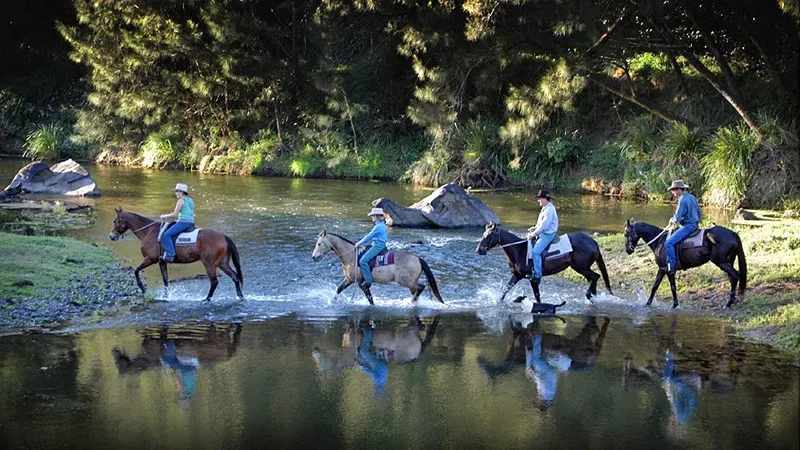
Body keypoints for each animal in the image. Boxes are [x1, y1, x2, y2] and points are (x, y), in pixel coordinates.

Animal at [108, 208, 244, 300]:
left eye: (115, 221)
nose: (111, 236)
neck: (148, 232)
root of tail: (224, 236)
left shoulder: (150, 259)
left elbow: (136, 271)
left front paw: (143, 288)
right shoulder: (161, 261)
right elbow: (165, 280)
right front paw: (166, 296)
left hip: (210, 265)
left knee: (214, 282)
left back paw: (206, 299)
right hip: (223, 263)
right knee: (235, 277)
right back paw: (240, 296)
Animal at [310, 232, 444, 306]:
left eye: (319, 244)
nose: (314, 257)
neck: (352, 256)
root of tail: (418, 259)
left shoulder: (359, 282)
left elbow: (369, 297)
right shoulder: (349, 279)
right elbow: (339, 289)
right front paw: (332, 302)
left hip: (406, 281)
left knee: (421, 287)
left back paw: (412, 301)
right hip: (410, 283)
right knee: (417, 291)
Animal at [476, 221, 612, 310]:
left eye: (489, 235)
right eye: (483, 234)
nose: (479, 250)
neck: (520, 250)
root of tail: (593, 242)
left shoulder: (533, 278)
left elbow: (537, 296)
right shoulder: (517, 275)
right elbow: (505, 290)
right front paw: (497, 303)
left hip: (581, 268)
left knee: (596, 276)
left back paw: (590, 296)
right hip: (583, 268)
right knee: (593, 278)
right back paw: (592, 296)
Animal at [620, 219, 748, 310]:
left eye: (626, 233)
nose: (628, 250)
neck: (660, 242)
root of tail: (734, 234)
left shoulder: (667, 269)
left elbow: (672, 287)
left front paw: (674, 305)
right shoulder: (662, 269)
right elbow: (655, 286)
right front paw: (648, 303)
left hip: (722, 262)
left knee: (735, 275)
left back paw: (729, 303)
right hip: (729, 262)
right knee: (732, 278)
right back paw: (730, 301)